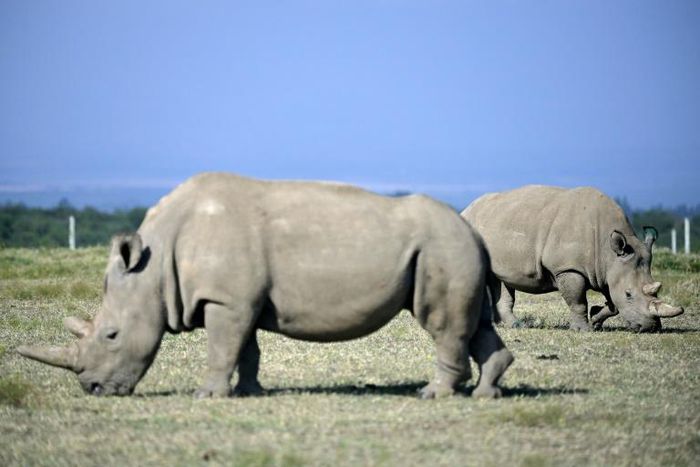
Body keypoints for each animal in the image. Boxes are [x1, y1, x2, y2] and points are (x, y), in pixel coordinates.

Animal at [18, 173, 513, 398]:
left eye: (111, 335)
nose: (93, 389)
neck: (152, 269)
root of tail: (474, 233)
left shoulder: (225, 300)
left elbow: (222, 348)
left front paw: (207, 396)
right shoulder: (239, 300)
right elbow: (246, 348)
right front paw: (249, 392)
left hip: (442, 248)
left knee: (442, 323)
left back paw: (432, 395)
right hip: (453, 248)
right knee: (474, 324)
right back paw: (486, 393)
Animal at [461, 185, 683, 332]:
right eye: (629, 294)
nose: (651, 327)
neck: (607, 250)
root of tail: (465, 209)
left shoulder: (608, 269)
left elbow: (612, 303)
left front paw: (596, 318)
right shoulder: (568, 267)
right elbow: (578, 301)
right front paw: (584, 329)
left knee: (501, 280)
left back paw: (516, 326)